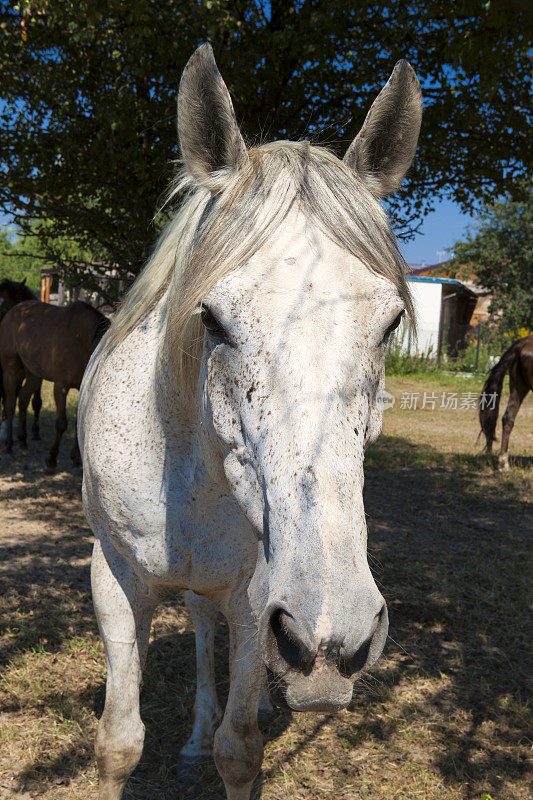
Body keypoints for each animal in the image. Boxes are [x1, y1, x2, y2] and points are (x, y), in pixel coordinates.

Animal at [0, 288, 109, 472]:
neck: (82, 341)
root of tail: (13, 311)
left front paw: (76, 459)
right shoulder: (61, 387)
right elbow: (61, 423)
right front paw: (51, 459)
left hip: (33, 374)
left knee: (23, 398)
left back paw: (23, 441)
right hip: (11, 370)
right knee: (10, 404)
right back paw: (9, 446)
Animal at [78, 43, 420, 800]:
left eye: (389, 323)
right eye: (210, 318)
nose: (331, 641)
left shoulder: (255, 594)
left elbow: (240, 751)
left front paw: (247, 718)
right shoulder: (114, 581)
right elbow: (117, 742)